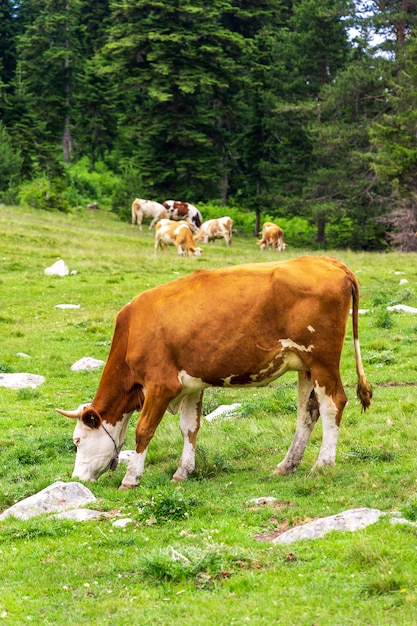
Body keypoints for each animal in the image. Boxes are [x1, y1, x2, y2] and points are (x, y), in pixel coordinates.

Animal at [57, 254, 372, 488]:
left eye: (77, 440)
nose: (77, 478)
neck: (132, 329)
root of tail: (329, 261)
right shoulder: (191, 385)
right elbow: (189, 428)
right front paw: (183, 472)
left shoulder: (161, 384)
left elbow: (143, 430)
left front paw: (131, 478)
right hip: (304, 367)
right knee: (308, 413)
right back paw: (287, 464)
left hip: (321, 360)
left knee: (333, 405)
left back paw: (322, 464)